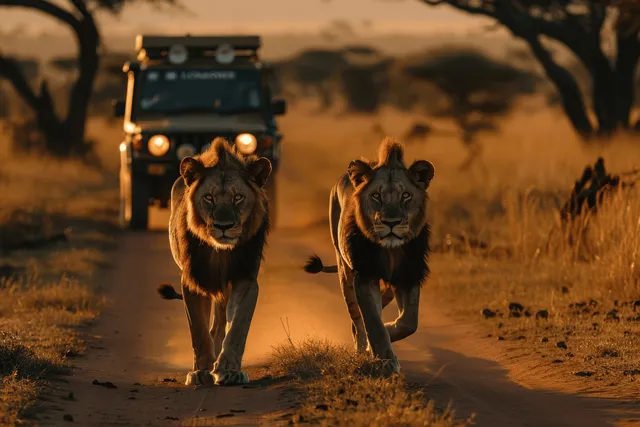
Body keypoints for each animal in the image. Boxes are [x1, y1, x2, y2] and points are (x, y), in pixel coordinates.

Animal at [157, 137, 271, 386]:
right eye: (208, 198)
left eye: (238, 197)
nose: (223, 226)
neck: (221, 253)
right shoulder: (192, 280)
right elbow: (198, 331)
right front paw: (201, 371)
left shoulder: (245, 278)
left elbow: (237, 326)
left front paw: (229, 369)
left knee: (220, 324)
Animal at [304, 137, 434, 374]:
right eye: (376, 196)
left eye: (406, 195)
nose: (391, 222)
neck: (390, 249)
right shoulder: (364, 276)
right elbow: (373, 322)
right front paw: (386, 360)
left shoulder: (408, 275)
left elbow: (409, 322)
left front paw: (389, 335)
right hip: (345, 272)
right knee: (357, 319)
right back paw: (362, 347)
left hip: (387, 287)